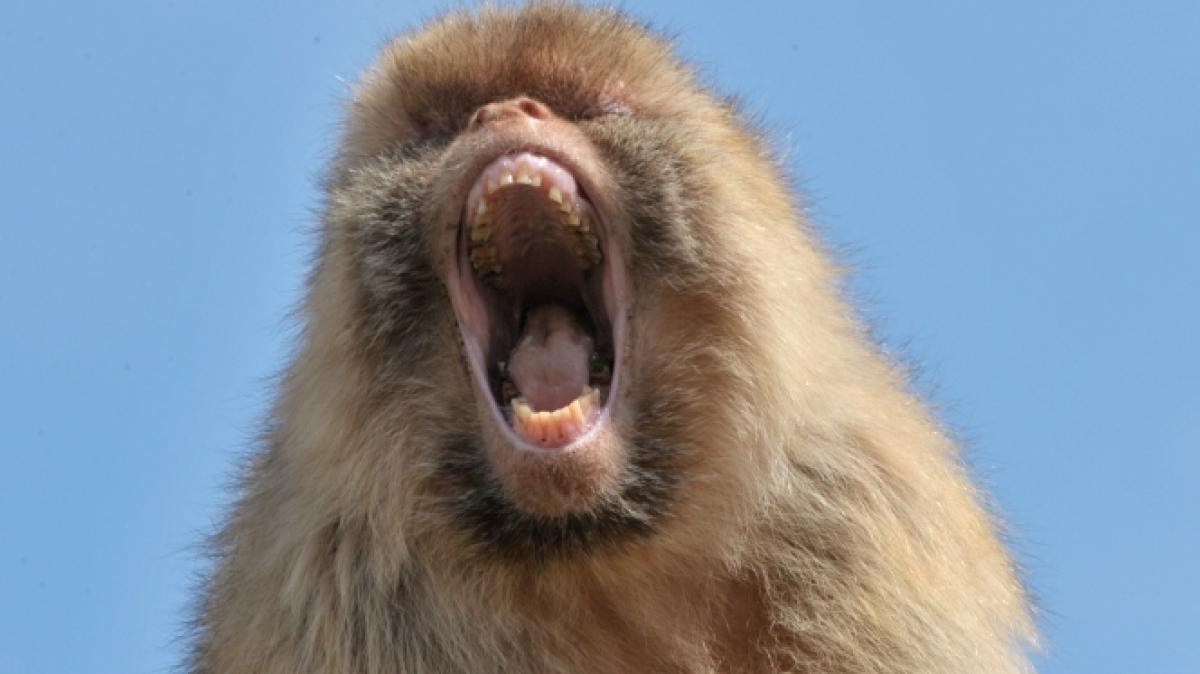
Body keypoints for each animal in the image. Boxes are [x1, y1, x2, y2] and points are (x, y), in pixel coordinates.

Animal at [189, 4, 1038, 672]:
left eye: (588, 105)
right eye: (438, 126)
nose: (504, 112)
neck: (594, 544)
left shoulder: (862, 532)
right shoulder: (336, 585)